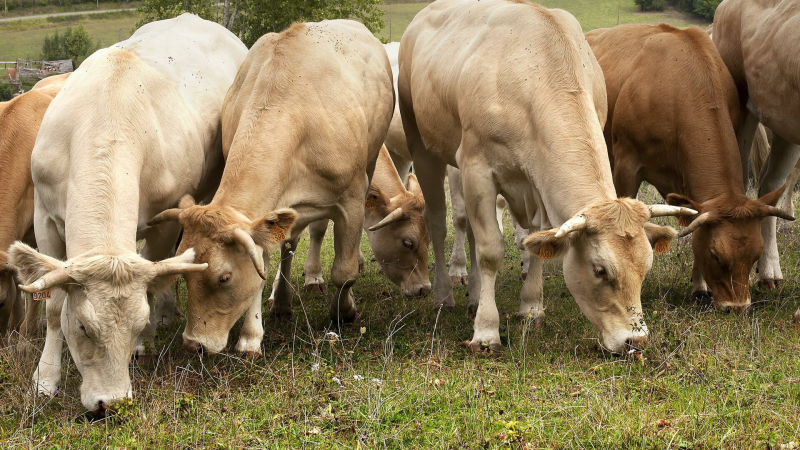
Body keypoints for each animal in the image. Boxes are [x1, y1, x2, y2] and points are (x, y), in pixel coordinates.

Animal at [8, 14, 247, 413]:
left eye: (137, 323)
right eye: (84, 327)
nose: (112, 403)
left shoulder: (163, 220)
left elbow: (154, 274)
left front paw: (143, 340)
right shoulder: (45, 219)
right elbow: (54, 307)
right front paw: (45, 378)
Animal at [148, 20, 394, 355]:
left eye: (224, 277)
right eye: (185, 275)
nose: (193, 344)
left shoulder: (351, 202)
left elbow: (343, 272)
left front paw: (343, 311)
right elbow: (261, 264)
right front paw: (251, 336)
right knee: (289, 245)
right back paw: (282, 302)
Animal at [398, 0, 694, 354]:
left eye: (646, 267)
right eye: (600, 270)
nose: (634, 340)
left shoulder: (537, 179)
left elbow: (537, 237)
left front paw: (531, 307)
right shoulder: (476, 169)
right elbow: (490, 250)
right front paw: (486, 331)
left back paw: (474, 294)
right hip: (421, 144)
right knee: (439, 222)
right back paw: (445, 295)